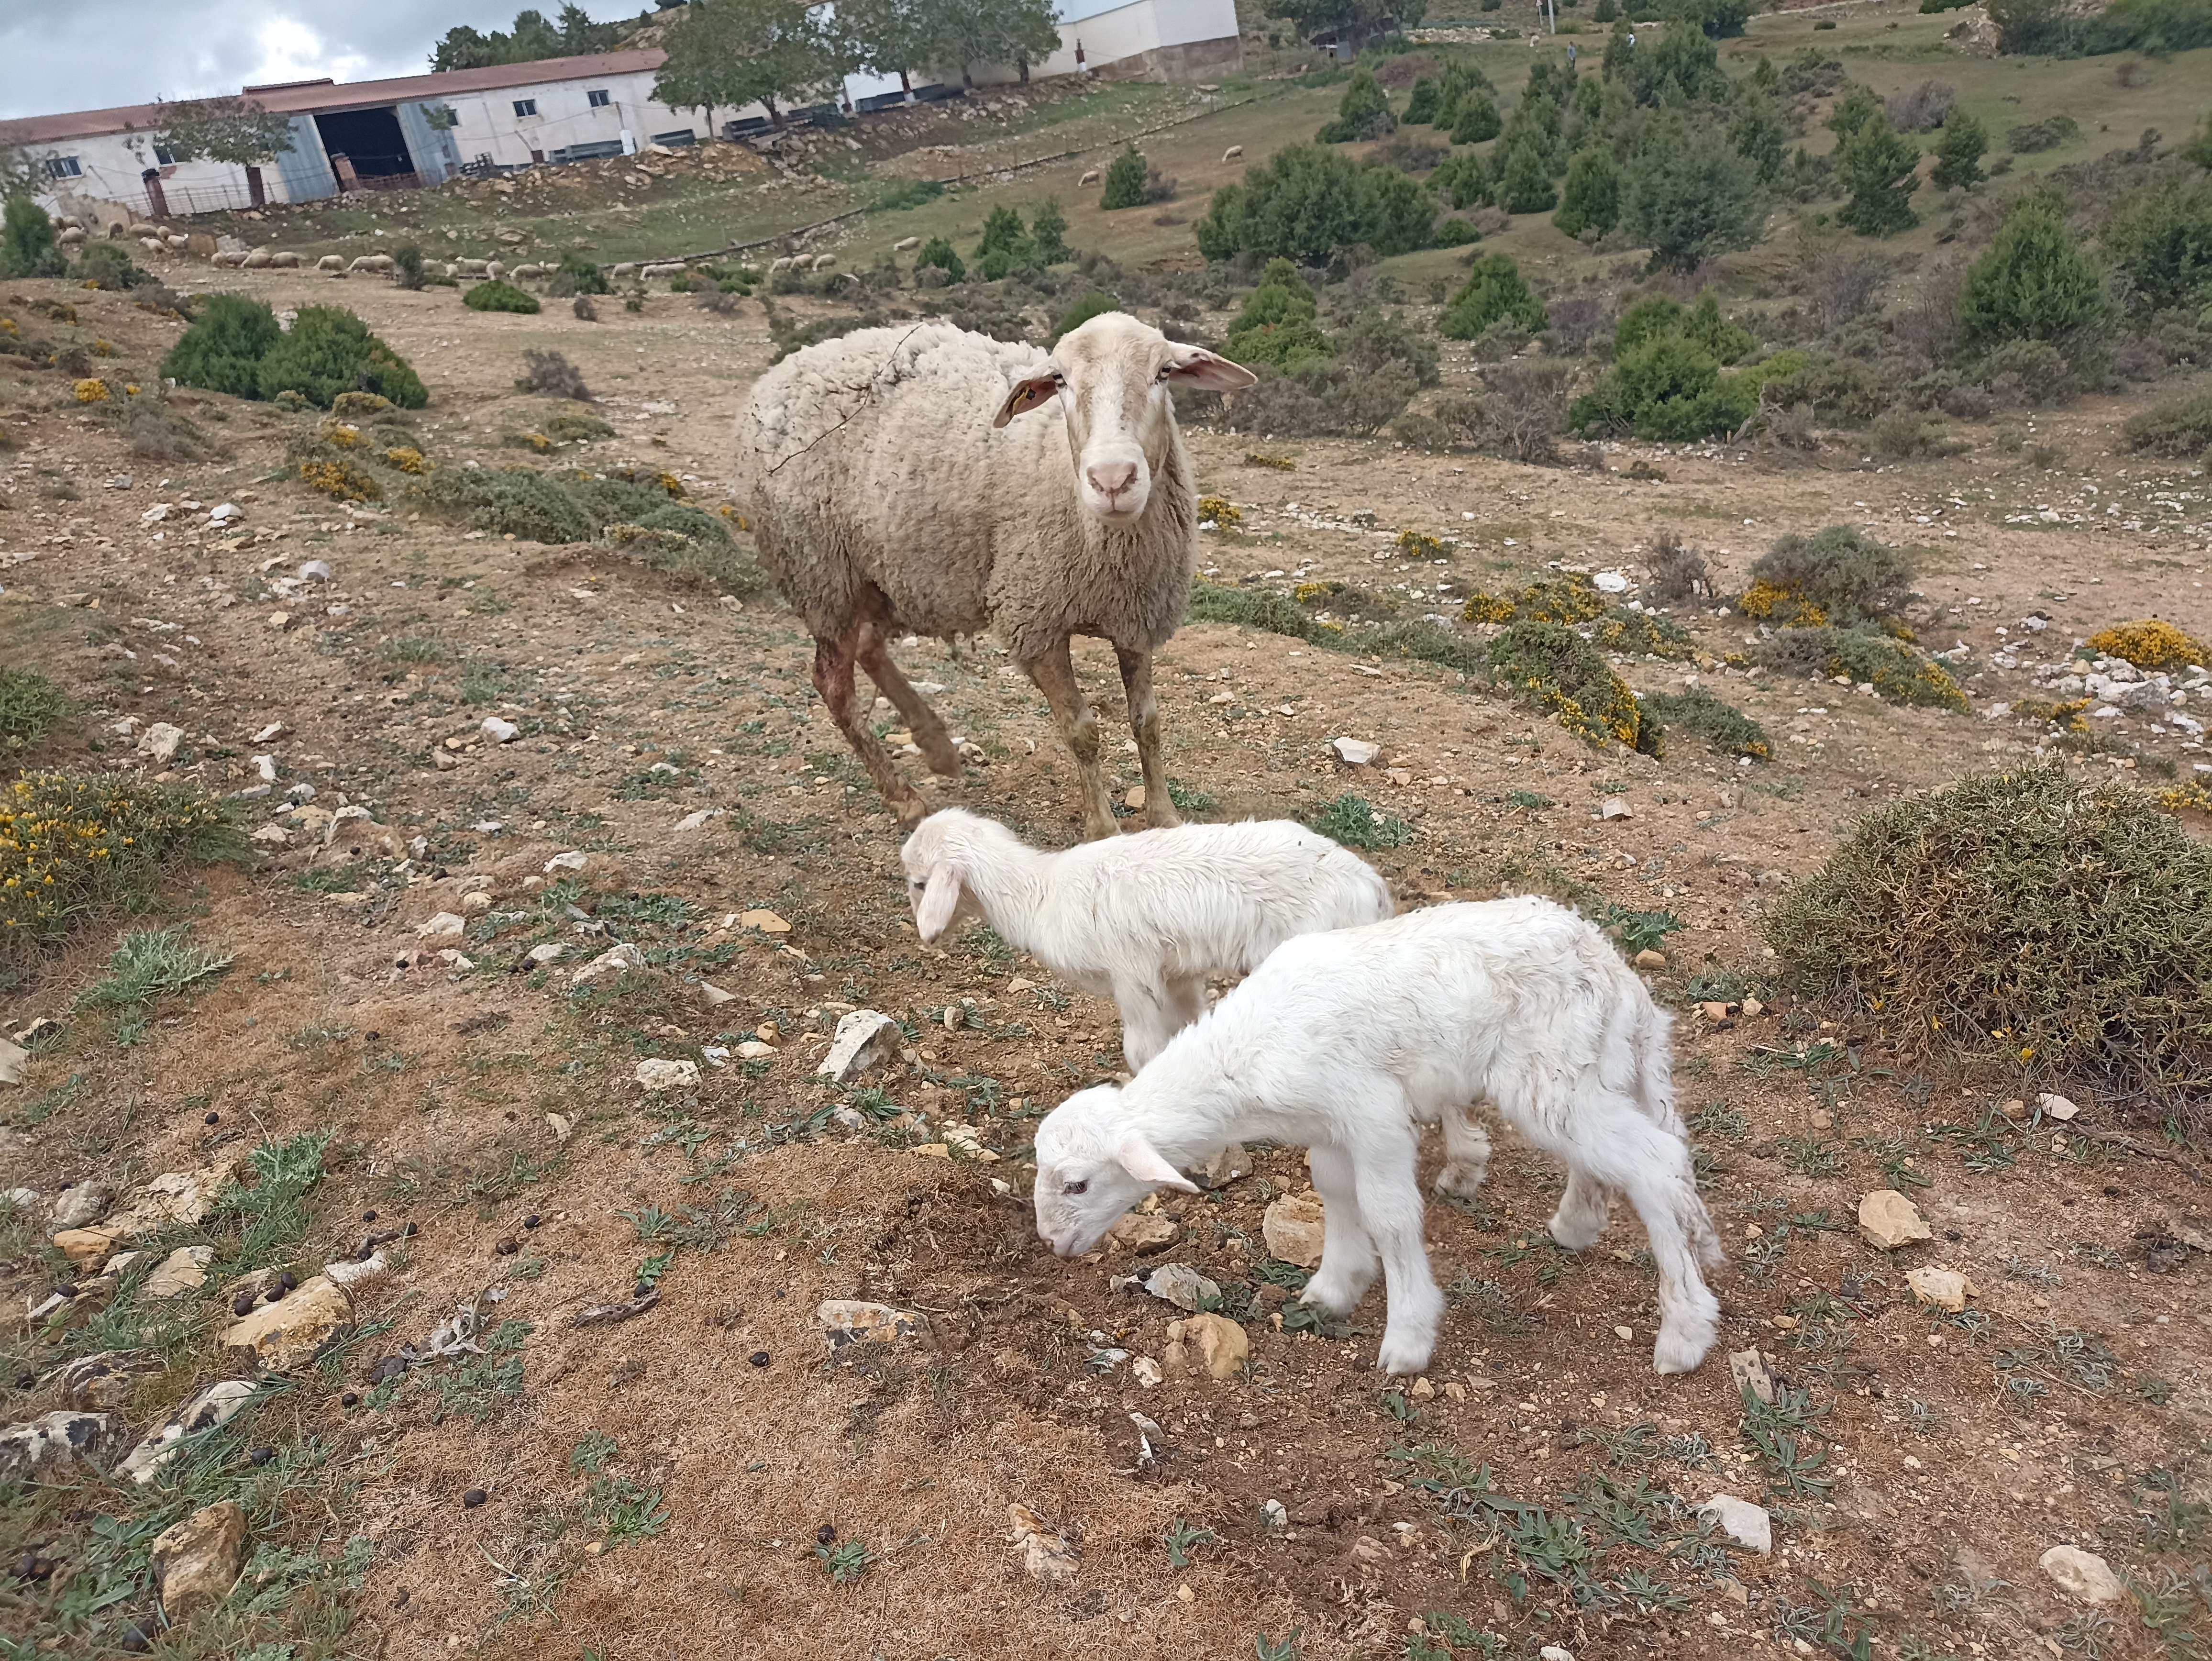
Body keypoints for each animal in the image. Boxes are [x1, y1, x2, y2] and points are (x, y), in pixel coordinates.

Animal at [730, 312, 1256, 839]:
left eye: (1164, 372)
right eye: (1059, 380)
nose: (1112, 480)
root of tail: (779, 374)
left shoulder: (1136, 614)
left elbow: (1147, 721)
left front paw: (1165, 818)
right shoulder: (1034, 618)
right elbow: (1081, 731)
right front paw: (1103, 830)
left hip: (877, 573)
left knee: (869, 647)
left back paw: (937, 745)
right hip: (821, 573)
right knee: (835, 686)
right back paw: (904, 798)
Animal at [901, 806, 1393, 1069]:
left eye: (920, 884)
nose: (925, 935)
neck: (1042, 893)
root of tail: (1374, 888)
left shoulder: (1132, 974)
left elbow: (1142, 1050)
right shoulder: (1176, 973)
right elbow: (1188, 1023)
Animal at [1030, 898, 1726, 1377]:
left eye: (1078, 1184)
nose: (1052, 1244)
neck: (1242, 1057)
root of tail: (1619, 976)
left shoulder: (1373, 1114)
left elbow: (1390, 1216)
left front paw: (1408, 1338)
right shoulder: (1329, 1125)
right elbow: (1335, 1194)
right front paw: (1335, 1288)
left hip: (1549, 1073)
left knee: (1654, 1163)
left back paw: (1685, 1332)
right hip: (1586, 1072)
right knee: (1626, 1154)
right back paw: (1578, 1225)